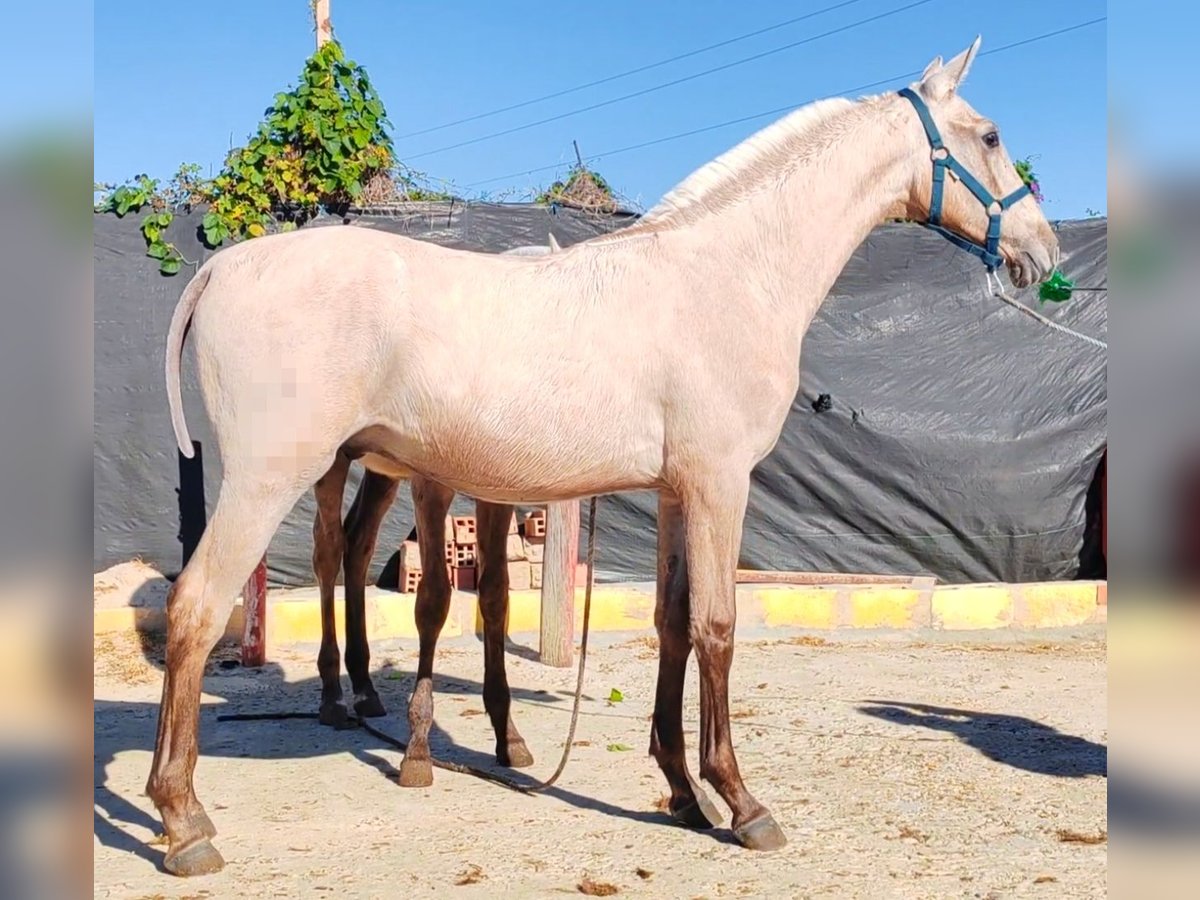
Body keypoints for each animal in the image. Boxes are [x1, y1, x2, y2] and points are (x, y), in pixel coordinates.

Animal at [307, 243, 559, 787]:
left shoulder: (497, 492)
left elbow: (495, 595)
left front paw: (508, 736)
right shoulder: (432, 484)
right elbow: (434, 600)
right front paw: (418, 750)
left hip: (381, 471)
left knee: (358, 545)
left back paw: (365, 687)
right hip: (332, 459)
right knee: (328, 550)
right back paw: (333, 695)